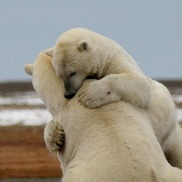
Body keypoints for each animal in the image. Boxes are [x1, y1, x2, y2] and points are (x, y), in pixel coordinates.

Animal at [45, 27, 182, 169]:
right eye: (59, 74)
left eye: (72, 72)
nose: (68, 94)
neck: (105, 54)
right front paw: (55, 137)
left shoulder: (116, 61)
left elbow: (141, 85)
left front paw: (90, 94)